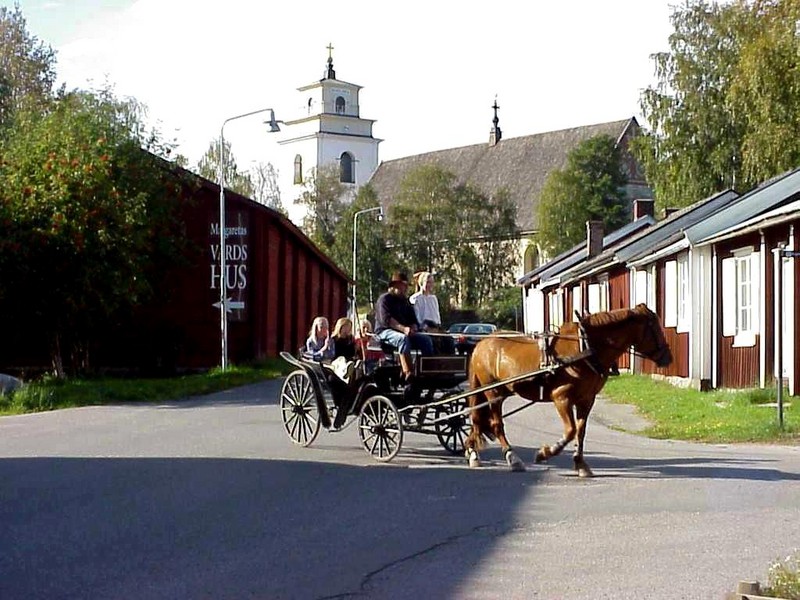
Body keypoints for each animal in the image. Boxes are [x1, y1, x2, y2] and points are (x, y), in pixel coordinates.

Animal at [466, 304, 672, 478]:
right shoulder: (561, 398)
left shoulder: (586, 399)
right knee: (495, 424)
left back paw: (472, 451)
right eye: (654, 328)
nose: (668, 358)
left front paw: (580, 464)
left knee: (476, 419)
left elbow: (580, 432)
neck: (584, 348)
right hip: (493, 392)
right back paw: (512, 458)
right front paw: (545, 453)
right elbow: (571, 430)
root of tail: (482, 344)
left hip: (495, 392)